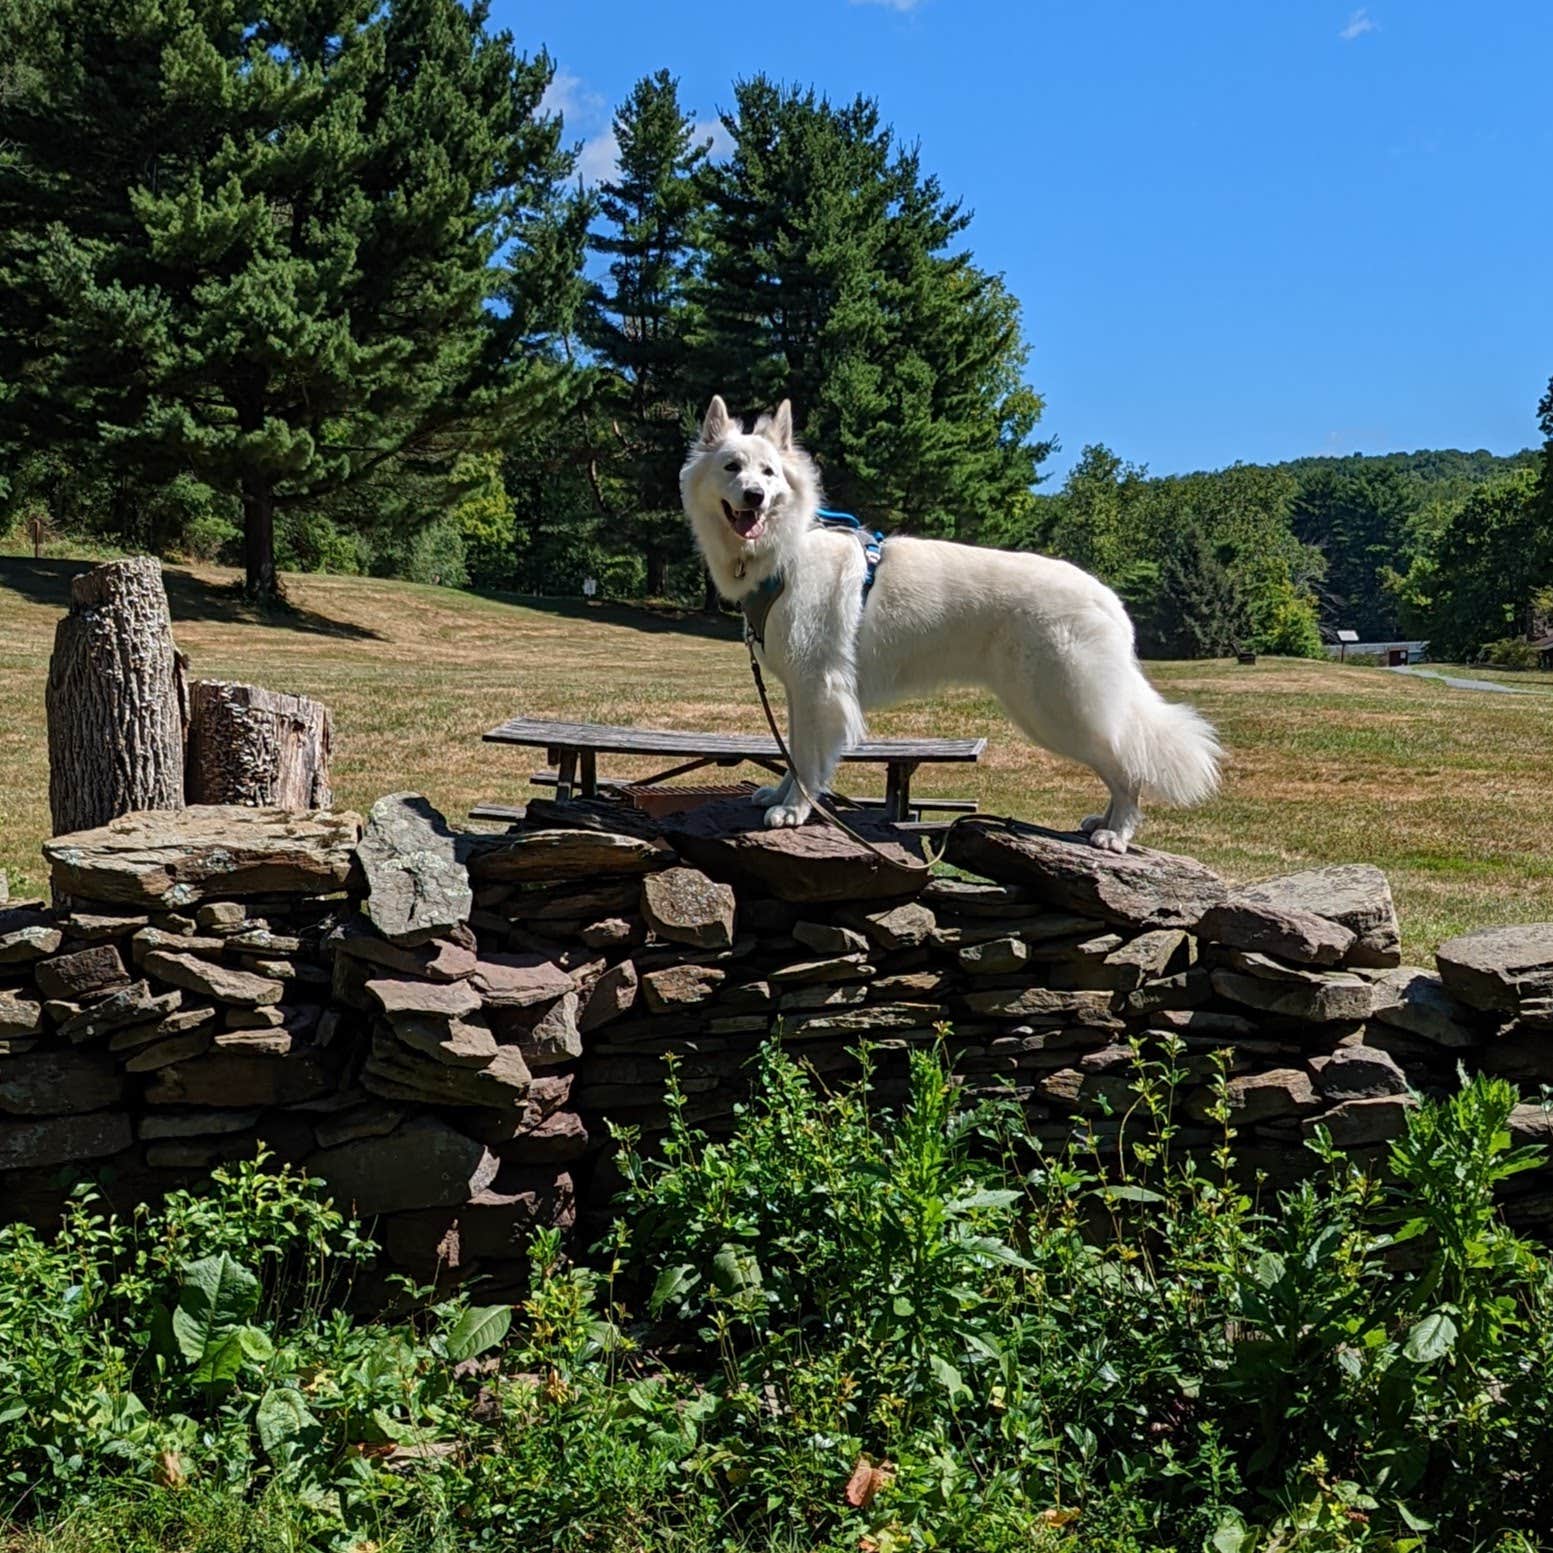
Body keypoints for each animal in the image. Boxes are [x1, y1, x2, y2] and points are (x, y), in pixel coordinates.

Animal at [686, 388, 1217, 851]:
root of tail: (1108, 599)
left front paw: (795, 810)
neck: (786, 552)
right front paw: (780, 797)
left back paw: (1117, 833)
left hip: (1058, 707)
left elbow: (807, 760)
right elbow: (793, 750)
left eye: (769, 473)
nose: (754, 496)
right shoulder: (803, 691)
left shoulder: (820, 689)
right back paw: (1101, 823)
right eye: (732, 467)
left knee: (1127, 767)